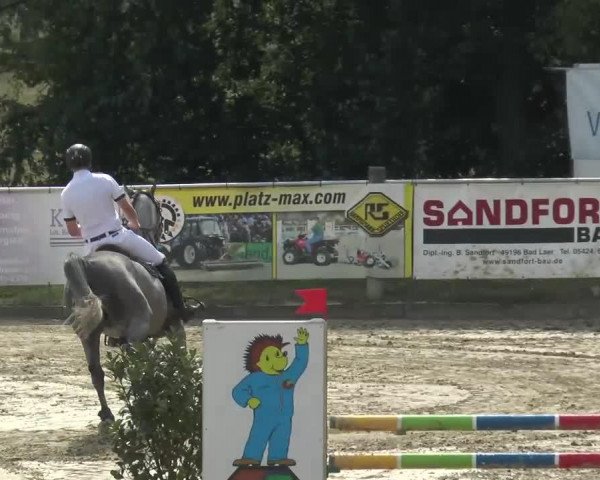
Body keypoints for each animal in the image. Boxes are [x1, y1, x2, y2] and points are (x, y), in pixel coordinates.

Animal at [63, 186, 191, 422]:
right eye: (161, 214)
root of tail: (86, 263)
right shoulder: (173, 327)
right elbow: (180, 354)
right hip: (137, 328)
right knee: (134, 366)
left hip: (89, 335)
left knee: (96, 371)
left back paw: (107, 413)